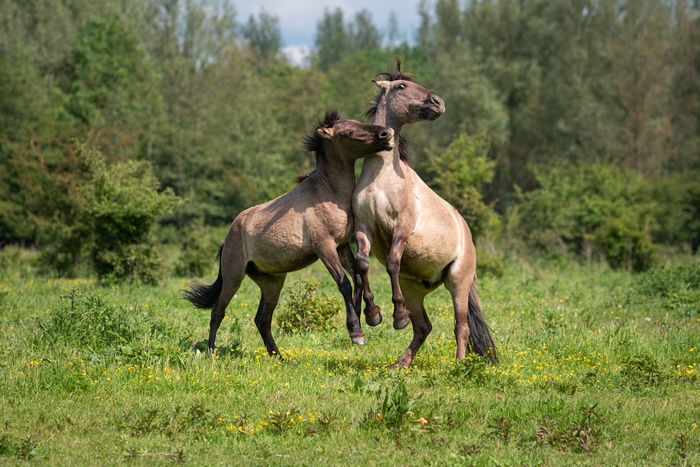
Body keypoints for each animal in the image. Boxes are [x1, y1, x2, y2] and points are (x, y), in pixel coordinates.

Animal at [184, 110, 394, 356]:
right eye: (349, 132)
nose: (386, 134)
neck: (328, 194)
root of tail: (227, 239)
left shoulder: (342, 245)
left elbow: (358, 277)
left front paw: (372, 316)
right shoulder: (324, 247)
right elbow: (344, 283)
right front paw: (356, 333)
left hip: (272, 282)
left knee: (262, 319)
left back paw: (279, 357)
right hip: (233, 276)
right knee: (217, 311)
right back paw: (210, 352)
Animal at [353, 60, 497, 367]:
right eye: (401, 86)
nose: (438, 102)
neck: (383, 179)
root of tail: (467, 235)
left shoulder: (402, 226)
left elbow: (392, 262)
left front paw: (397, 316)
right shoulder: (363, 226)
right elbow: (362, 264)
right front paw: (373, 314)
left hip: (458, 283)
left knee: (461, 326)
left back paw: (458, 365)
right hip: (415, 288)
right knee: (423, 327)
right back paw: (399, 364)